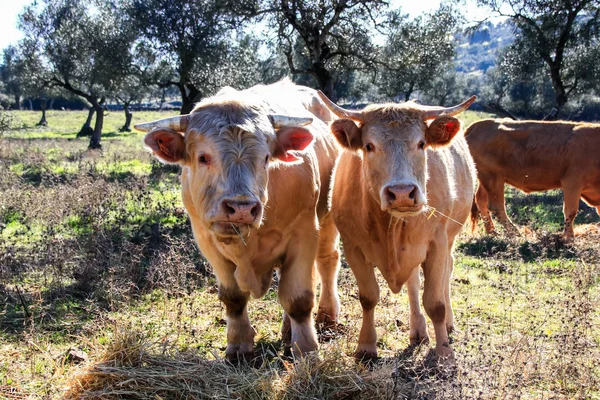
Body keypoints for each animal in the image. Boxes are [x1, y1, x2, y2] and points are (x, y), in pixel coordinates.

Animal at [136, 79, 342, 360]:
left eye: (266, 158)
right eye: (203, 157)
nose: (241, 208)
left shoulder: (305, 232)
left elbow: (298, 299)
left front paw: (307, 350)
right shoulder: (206, 240)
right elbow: (233, 298)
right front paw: (238, 346)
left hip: (328, 218)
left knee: (327, 261)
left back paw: (327, 316)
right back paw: (287, 331)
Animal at [316, 92, 476, 360]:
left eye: (421, 143)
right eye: (369, 146)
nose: (402, 193)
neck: (390, 226)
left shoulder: (437, 242)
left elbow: (436, 303)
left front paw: (444, 353)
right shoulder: (353, 246)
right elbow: (369, 297)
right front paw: (366, 347)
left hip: (450, 238)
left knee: (446, 273)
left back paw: (448, 324)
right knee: (412, 283)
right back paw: (418, 331)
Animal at [466, 118, 600, 238]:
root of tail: (477, 125)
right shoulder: (572, 183)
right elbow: (570, 212)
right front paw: (568, 239)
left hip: (488, 179)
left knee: (481, 200)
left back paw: (492, 232)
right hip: (493, 178)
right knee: (496, 206)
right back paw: (515, 233)